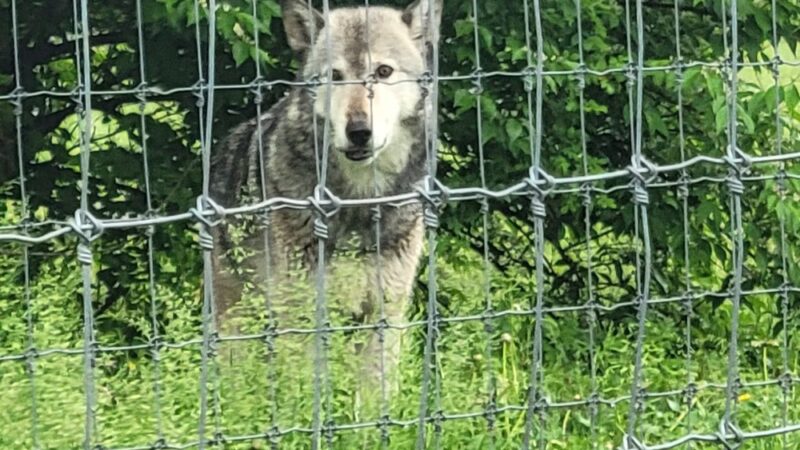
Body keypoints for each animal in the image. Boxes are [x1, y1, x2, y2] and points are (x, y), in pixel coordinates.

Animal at [209, 0, 443, 389]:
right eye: (335, 75)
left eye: (383, 71)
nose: (359, 131)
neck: (358, 200)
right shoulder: (302, 318)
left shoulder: (385, 314)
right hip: (239, 321)